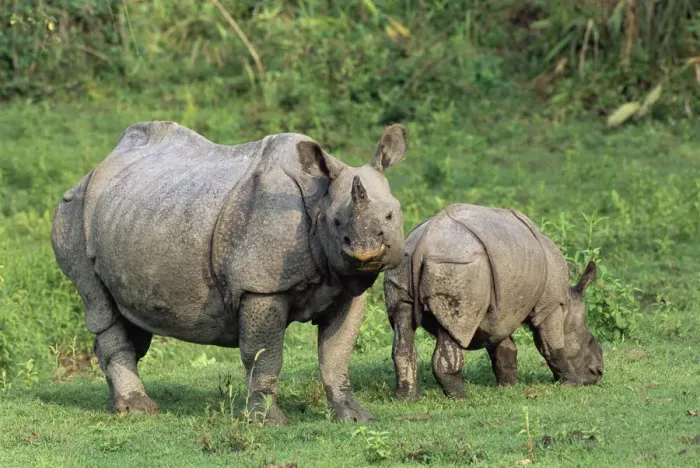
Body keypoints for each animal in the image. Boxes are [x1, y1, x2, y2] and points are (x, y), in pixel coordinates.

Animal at [51, 121, 408, 423]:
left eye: (392, 215)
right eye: (336, 222)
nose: (365, 252)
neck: (318, 196)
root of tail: (96, 168)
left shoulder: (346, 286)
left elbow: (336, 353)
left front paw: (355, 417)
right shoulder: (259, 286)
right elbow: (264, 355)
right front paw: (267, 422)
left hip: (136, 214)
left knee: (129, 318)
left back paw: (119, 408)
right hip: (72, 214)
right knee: (100, 306)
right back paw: (139, 410)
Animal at [383, 203, 604, 400]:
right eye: (590, 339)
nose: (598, 374)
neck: (567, 305)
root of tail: (422, 242)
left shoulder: (501, 311)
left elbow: (503, 346)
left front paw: (509, 387)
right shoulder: (549, 307)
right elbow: (553, 345)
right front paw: (572, 383)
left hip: (403, 261)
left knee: (402, 320)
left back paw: (405, 399)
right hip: (458, 265)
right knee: (456, 327)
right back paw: (462, 398)